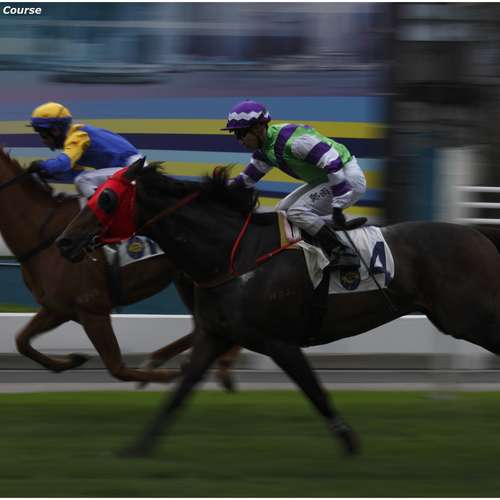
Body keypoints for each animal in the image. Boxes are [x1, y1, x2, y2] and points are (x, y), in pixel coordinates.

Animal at [0, 147, 239, 387]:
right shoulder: (57, 308)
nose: (65, 245)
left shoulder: (93, 309)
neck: (44, 235)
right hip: (189, 280)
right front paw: (71, 360)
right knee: (203, 326)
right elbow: (21, 341)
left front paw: (166, 375)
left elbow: (118, 369)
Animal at [57, 158, 500, 457]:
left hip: (469, 317)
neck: (231, 256)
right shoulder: (215, 336)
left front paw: (350, 442)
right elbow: (179, 393)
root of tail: (479, 236)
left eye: (107, 198)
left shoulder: (280, 342)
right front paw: (137, 447)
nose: (64, 241)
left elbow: (315, 392)